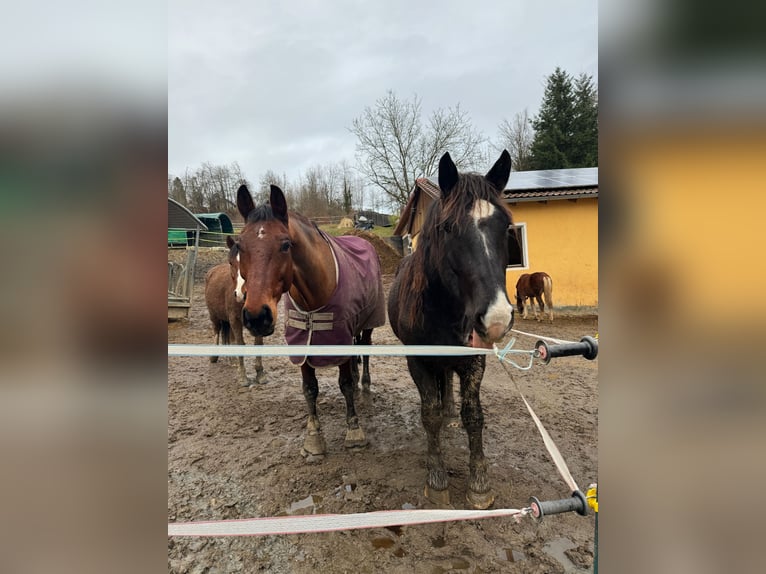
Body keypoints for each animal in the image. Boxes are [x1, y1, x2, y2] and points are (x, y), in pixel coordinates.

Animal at [204, 238, 268, 388]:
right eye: (231, 262)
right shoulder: (235, 320)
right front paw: (243, 377)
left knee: (226, 336)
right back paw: (214, 357)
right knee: (217, 331)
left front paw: (260, 374)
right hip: (214, 316)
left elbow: (258, 343)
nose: (240, 294)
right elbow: (240, 343)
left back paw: (231, 359)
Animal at [234, 184, 388, 460]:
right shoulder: (302, 344)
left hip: (370, 321)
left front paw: (354, 431)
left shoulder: (339, 339)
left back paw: (365, 382)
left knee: (366, 349)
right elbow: (309, 389)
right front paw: (314, 438)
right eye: (240, 245)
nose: (256, 317)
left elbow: (346, 385)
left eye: (286, 245)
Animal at [390, 151, 516, 510]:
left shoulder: (474, 359)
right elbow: (428, 415)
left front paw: (479, 484)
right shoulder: (418, 362)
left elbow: (474, 416)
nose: (496, 318)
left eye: (507, 228)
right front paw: (436, 478)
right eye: (447, 228)